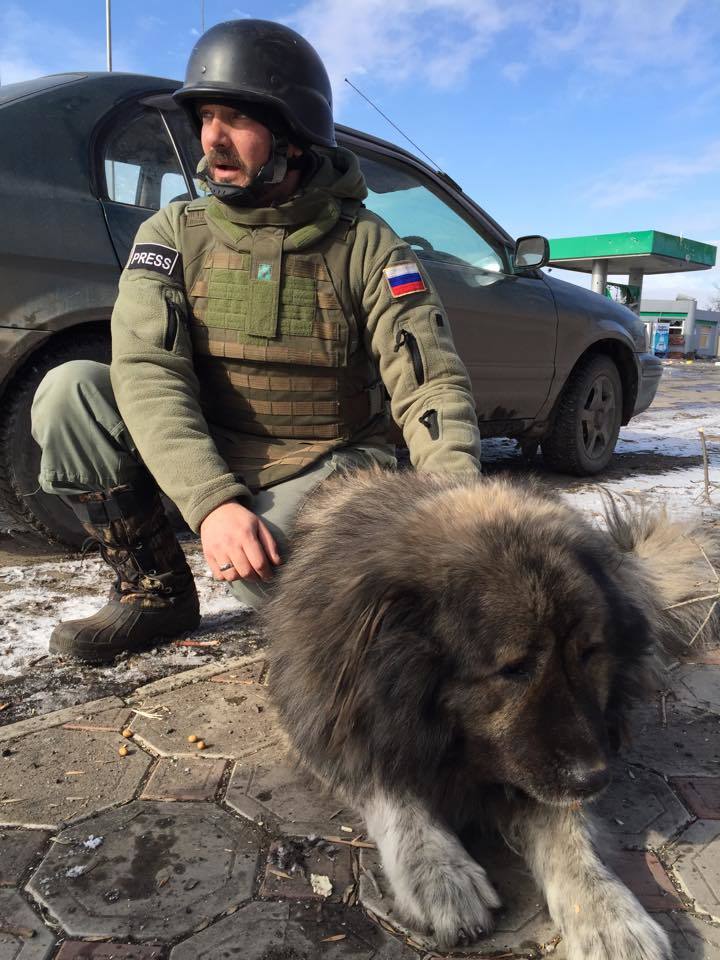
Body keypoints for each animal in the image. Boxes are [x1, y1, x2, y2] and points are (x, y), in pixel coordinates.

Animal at [266, 468, 720, 956]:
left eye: (589, 652)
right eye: (514, 668)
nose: (596, 779)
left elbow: (568, 831)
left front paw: (610, 914)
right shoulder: (331, 718)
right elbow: (391, 789)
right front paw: (440, 872)